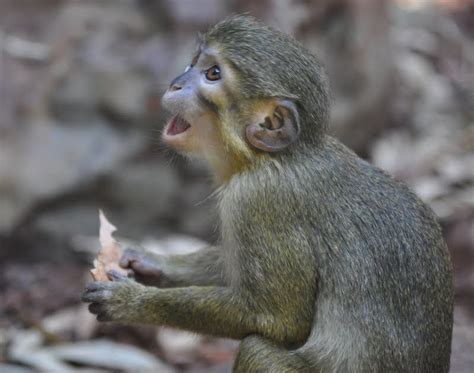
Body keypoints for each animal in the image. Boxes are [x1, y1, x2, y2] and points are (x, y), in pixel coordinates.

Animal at [81, 16, 452, 370]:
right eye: (194, 62)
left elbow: (277, 320)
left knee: (257, 350)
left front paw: (133, 303)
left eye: (213, 74)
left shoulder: (256, 202)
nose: (176, 83)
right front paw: (150, 262)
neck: (273, 159)